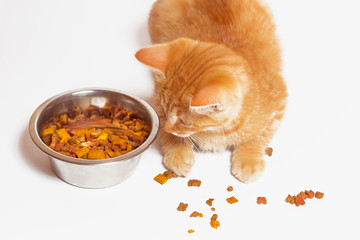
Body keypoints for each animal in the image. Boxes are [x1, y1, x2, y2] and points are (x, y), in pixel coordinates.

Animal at [135, 0, 286, 182]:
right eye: (164, 111)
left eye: (185, 122)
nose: (169, 128)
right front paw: (177, 152)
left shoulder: (279, 102)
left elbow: (260, 135)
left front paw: (249, 159)